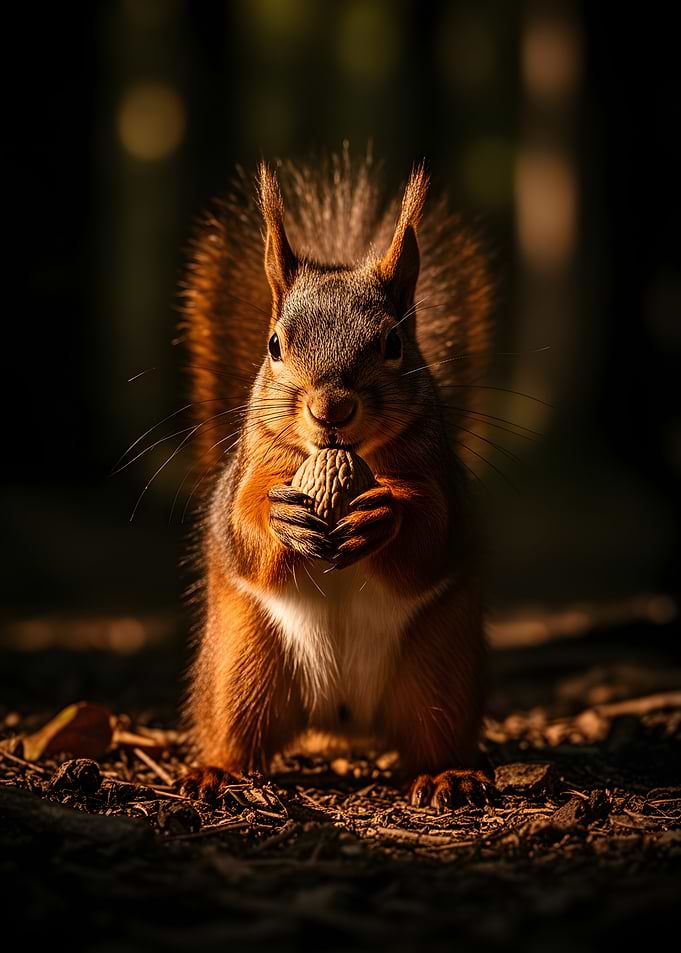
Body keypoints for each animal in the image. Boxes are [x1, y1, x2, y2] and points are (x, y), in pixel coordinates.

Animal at [179, 149, 494, 811]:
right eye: (274, 344)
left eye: (395, 343)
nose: (331, 410)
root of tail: (341, 719)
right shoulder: (249, 473)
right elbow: (242, 526)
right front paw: (279, 516)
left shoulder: (443, 483)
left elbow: (430, 536)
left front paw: (384, 514)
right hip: (242, 665)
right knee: (236, 731)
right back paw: (218, 772)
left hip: (439, 670)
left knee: (433, 735)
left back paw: (447, 775)